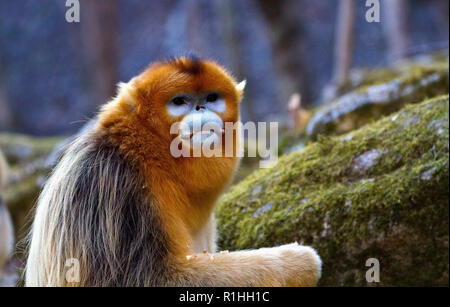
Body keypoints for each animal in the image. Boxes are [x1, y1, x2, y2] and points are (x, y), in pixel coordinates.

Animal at [24, 56, 322, 288]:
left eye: (211, 98)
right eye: (180, 101)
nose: (201, 108)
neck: (146, 154)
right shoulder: (108, 184)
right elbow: (154, 279)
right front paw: (299, 263)